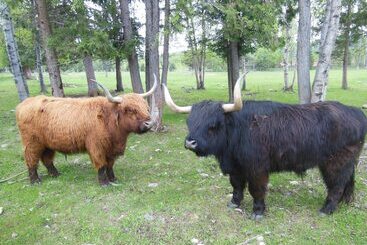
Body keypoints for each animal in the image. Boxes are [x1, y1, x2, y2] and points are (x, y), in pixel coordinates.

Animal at [15, 76, 157, 186]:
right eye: (130, 109)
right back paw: (35, 181)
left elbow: (110, 165)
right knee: (31, 159)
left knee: (47, 159)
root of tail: (23, 104)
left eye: (146, 107)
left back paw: (55, 174)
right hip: (32, 142)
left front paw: (113, 179)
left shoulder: (111, 149)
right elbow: (102, 165)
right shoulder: (96, 147)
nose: (149, 123)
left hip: (48, 144)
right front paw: (104, 183)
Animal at [163, 75, 367, 219]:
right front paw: (234, 203)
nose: (190, 142)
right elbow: (236, 186)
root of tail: (355, 112)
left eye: (213, 124)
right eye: (190, 122)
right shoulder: (236, 168)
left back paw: (327, 209)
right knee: (347, 182)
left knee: (336, 185)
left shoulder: (257, 168)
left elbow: (257, 189)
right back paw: (344, 203)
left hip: (336, 163)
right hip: (349, 162)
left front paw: (258, 211)